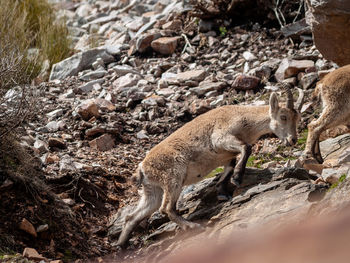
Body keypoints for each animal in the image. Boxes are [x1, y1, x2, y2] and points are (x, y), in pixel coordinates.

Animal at [117, 88, 304, 248]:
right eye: (283, 116)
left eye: (298, 118)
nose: (293, 140)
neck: (245, 120)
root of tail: (142, 168)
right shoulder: (221, 138)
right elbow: (246, 148)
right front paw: (237, 178)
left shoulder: (227, 154)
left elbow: (230, 166)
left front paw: (222, 192)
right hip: (173, 176)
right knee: (166, 208)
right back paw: (193, 226)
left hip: (153, 190)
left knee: (132, 217)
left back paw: (121, 245)